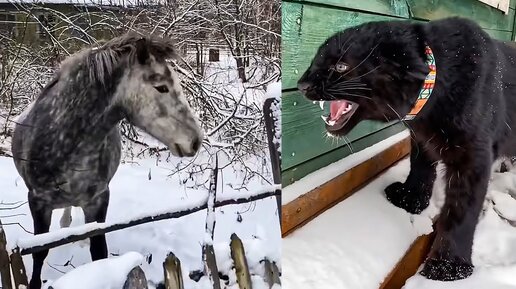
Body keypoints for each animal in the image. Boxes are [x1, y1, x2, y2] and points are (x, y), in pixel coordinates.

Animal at [11, 32, 203, 286]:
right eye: (161, 87)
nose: (196, 141)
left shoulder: (99, 199)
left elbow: (99, 251)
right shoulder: (38, 202)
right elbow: (39, 252)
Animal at [296, 16, 516, 280]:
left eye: (340, 66)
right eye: (315, 61)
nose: (302, 84)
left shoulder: (473, 159)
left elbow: (461, 211)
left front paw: (447, 267)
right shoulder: (420, 138)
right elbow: (419, 168)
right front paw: (410, 200)